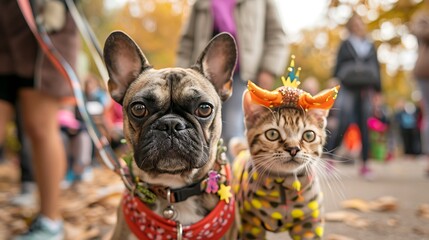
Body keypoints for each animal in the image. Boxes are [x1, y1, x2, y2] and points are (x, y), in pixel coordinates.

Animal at [232, 89, 330, 238]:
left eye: (309, 135)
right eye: (272, 134)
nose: (293, 149)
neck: (283, 184)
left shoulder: (309, 224)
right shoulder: (250, 223)